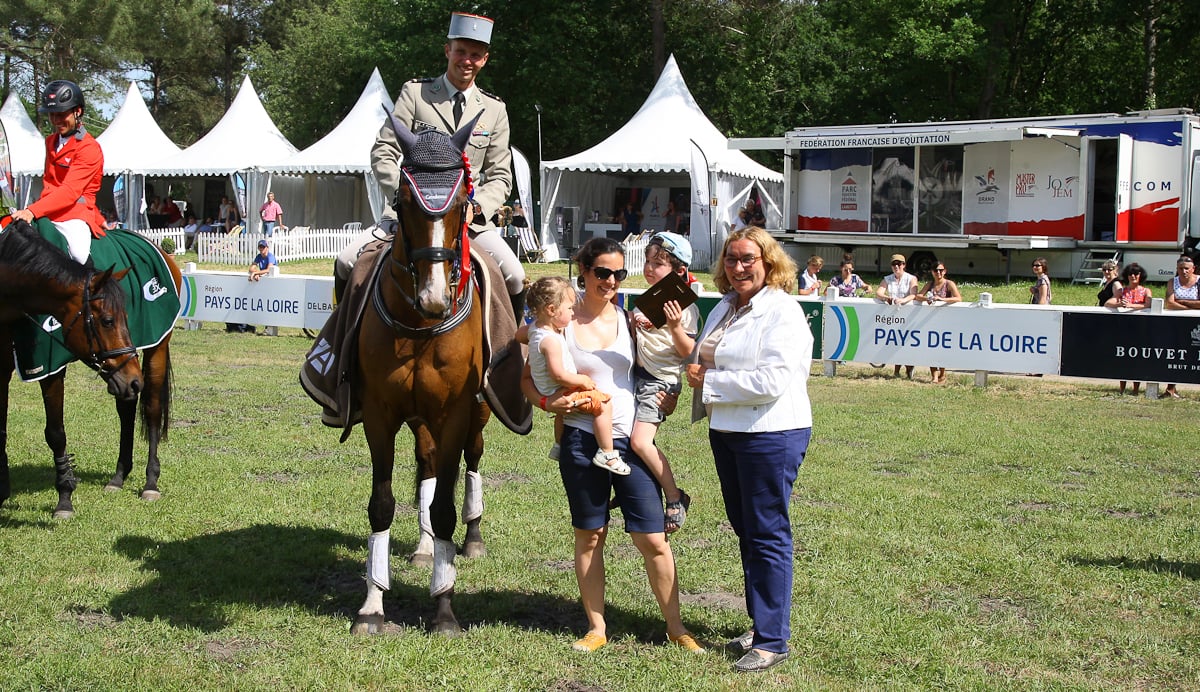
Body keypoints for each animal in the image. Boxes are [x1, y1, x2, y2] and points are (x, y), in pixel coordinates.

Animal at [350, 114, 487, 638]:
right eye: (404, 202)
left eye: (462, 202)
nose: (433, 298)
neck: (420, 327)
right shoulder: (380, 415)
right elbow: (382, 504)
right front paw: (372, 606)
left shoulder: (454, 413)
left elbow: (445, 506)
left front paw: (444, 609)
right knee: (427, 466)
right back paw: (426, 548)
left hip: (476, 417)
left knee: (471, 461)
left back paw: (472, 538)